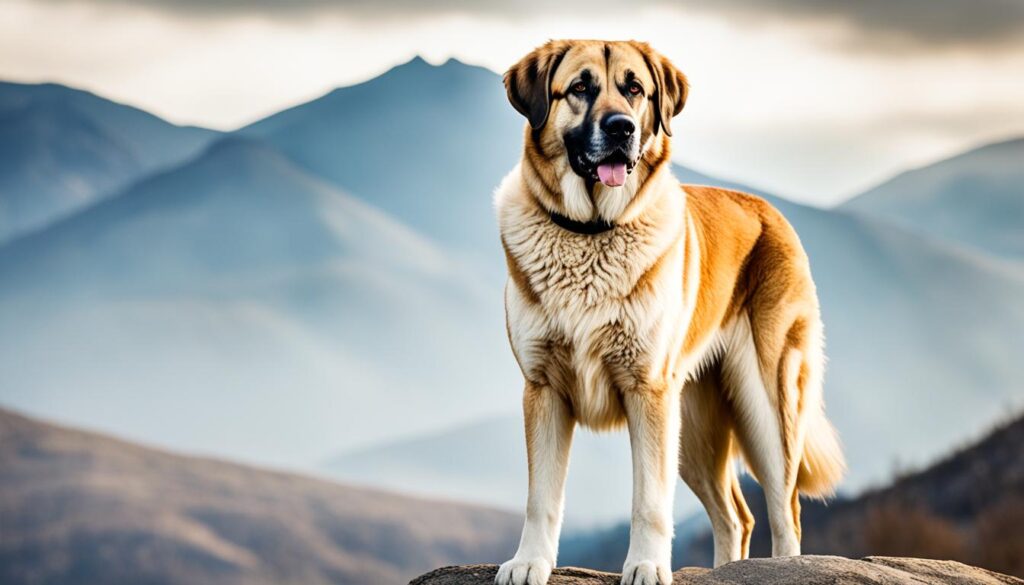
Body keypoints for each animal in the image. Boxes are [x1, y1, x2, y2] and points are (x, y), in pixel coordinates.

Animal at [491, 41, 843, 585]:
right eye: (580, 88)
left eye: (635, 89)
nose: (621, 128)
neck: (591, 232)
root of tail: (771, 211)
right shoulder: (543, 389)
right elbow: (541, 497)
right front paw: (530, 562)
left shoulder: (648, 392)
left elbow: (649, 502)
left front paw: (646, 566)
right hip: (693, 432)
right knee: (736, 515)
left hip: (765, 404)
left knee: (785, 509)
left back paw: (785, 565)